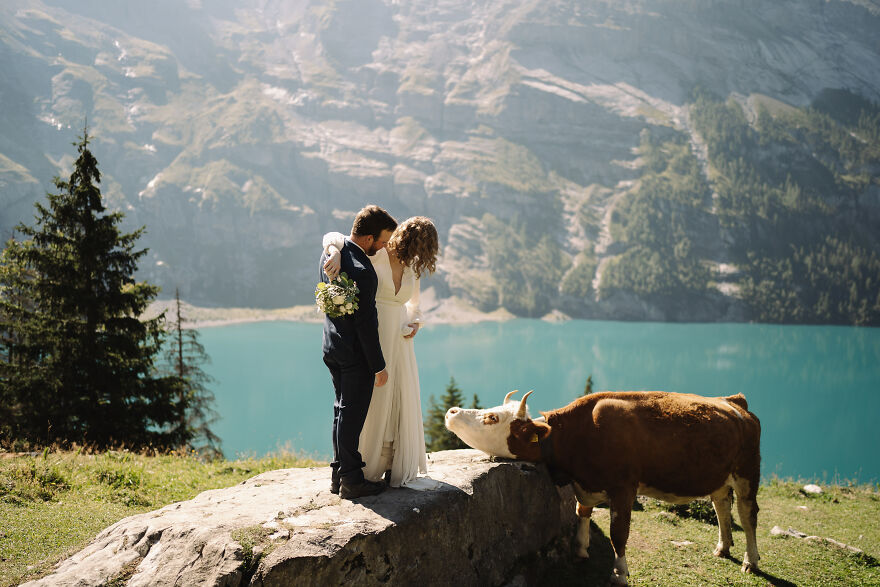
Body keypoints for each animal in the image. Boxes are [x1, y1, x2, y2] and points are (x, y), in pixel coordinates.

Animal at [445, 390, 761, 586]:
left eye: (492, 418)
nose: (451, 411)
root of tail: (734, 402)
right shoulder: (585, 485)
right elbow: (581, 511)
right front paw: (581, 548)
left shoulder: (623, 488)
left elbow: (618, 534)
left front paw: (619, 573)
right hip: (719, 475)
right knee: (721, 505)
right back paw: (722, 547)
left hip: (747, 471)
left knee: (748, 515)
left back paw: (750, 560)